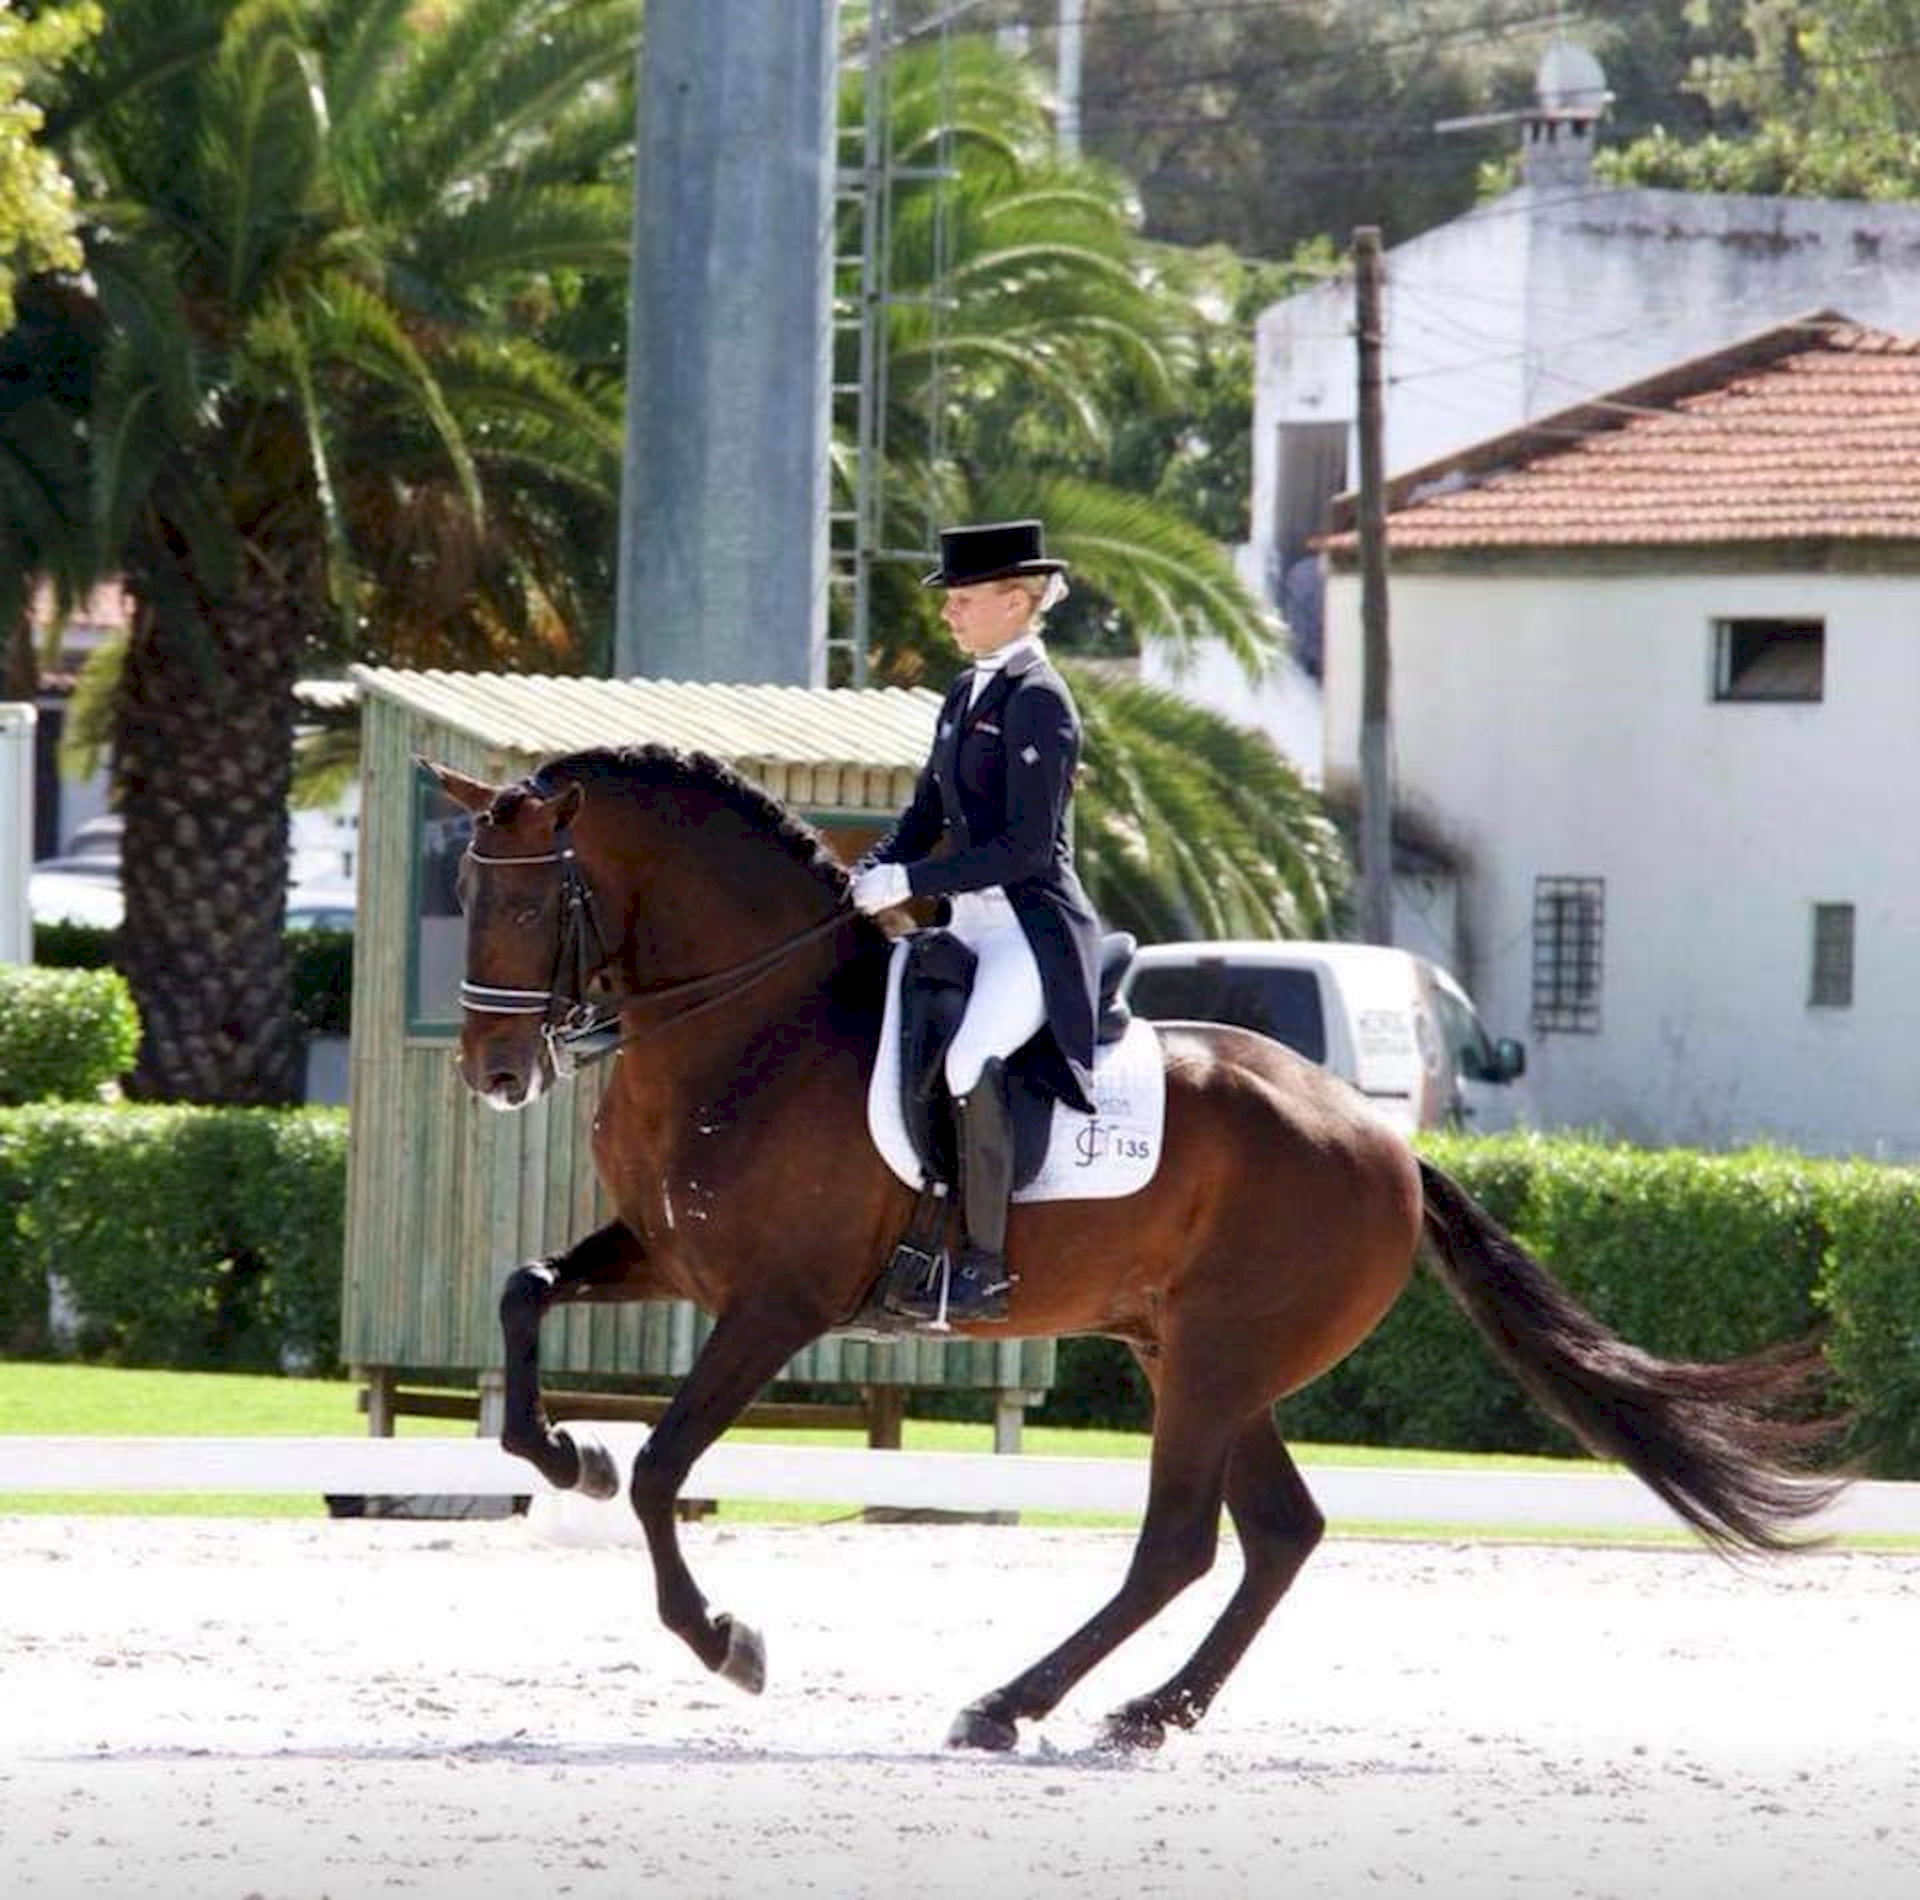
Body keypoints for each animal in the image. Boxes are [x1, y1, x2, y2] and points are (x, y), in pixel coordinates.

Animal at [428, 744, 1835, 1757]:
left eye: (533, 896)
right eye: (462, 895)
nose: (494, 1073)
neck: (751, 1022)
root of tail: (1383, 1144)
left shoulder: (777, 1303)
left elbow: (668, 1469)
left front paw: (726, 1638)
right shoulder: (676, 1261)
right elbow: (522, 1294)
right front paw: (562, 1453)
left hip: (1212, 1362)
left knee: (1182, 1544)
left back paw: (1008, 1704)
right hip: (1196, 1357)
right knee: (1279, 1534)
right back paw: (1144, 1713)